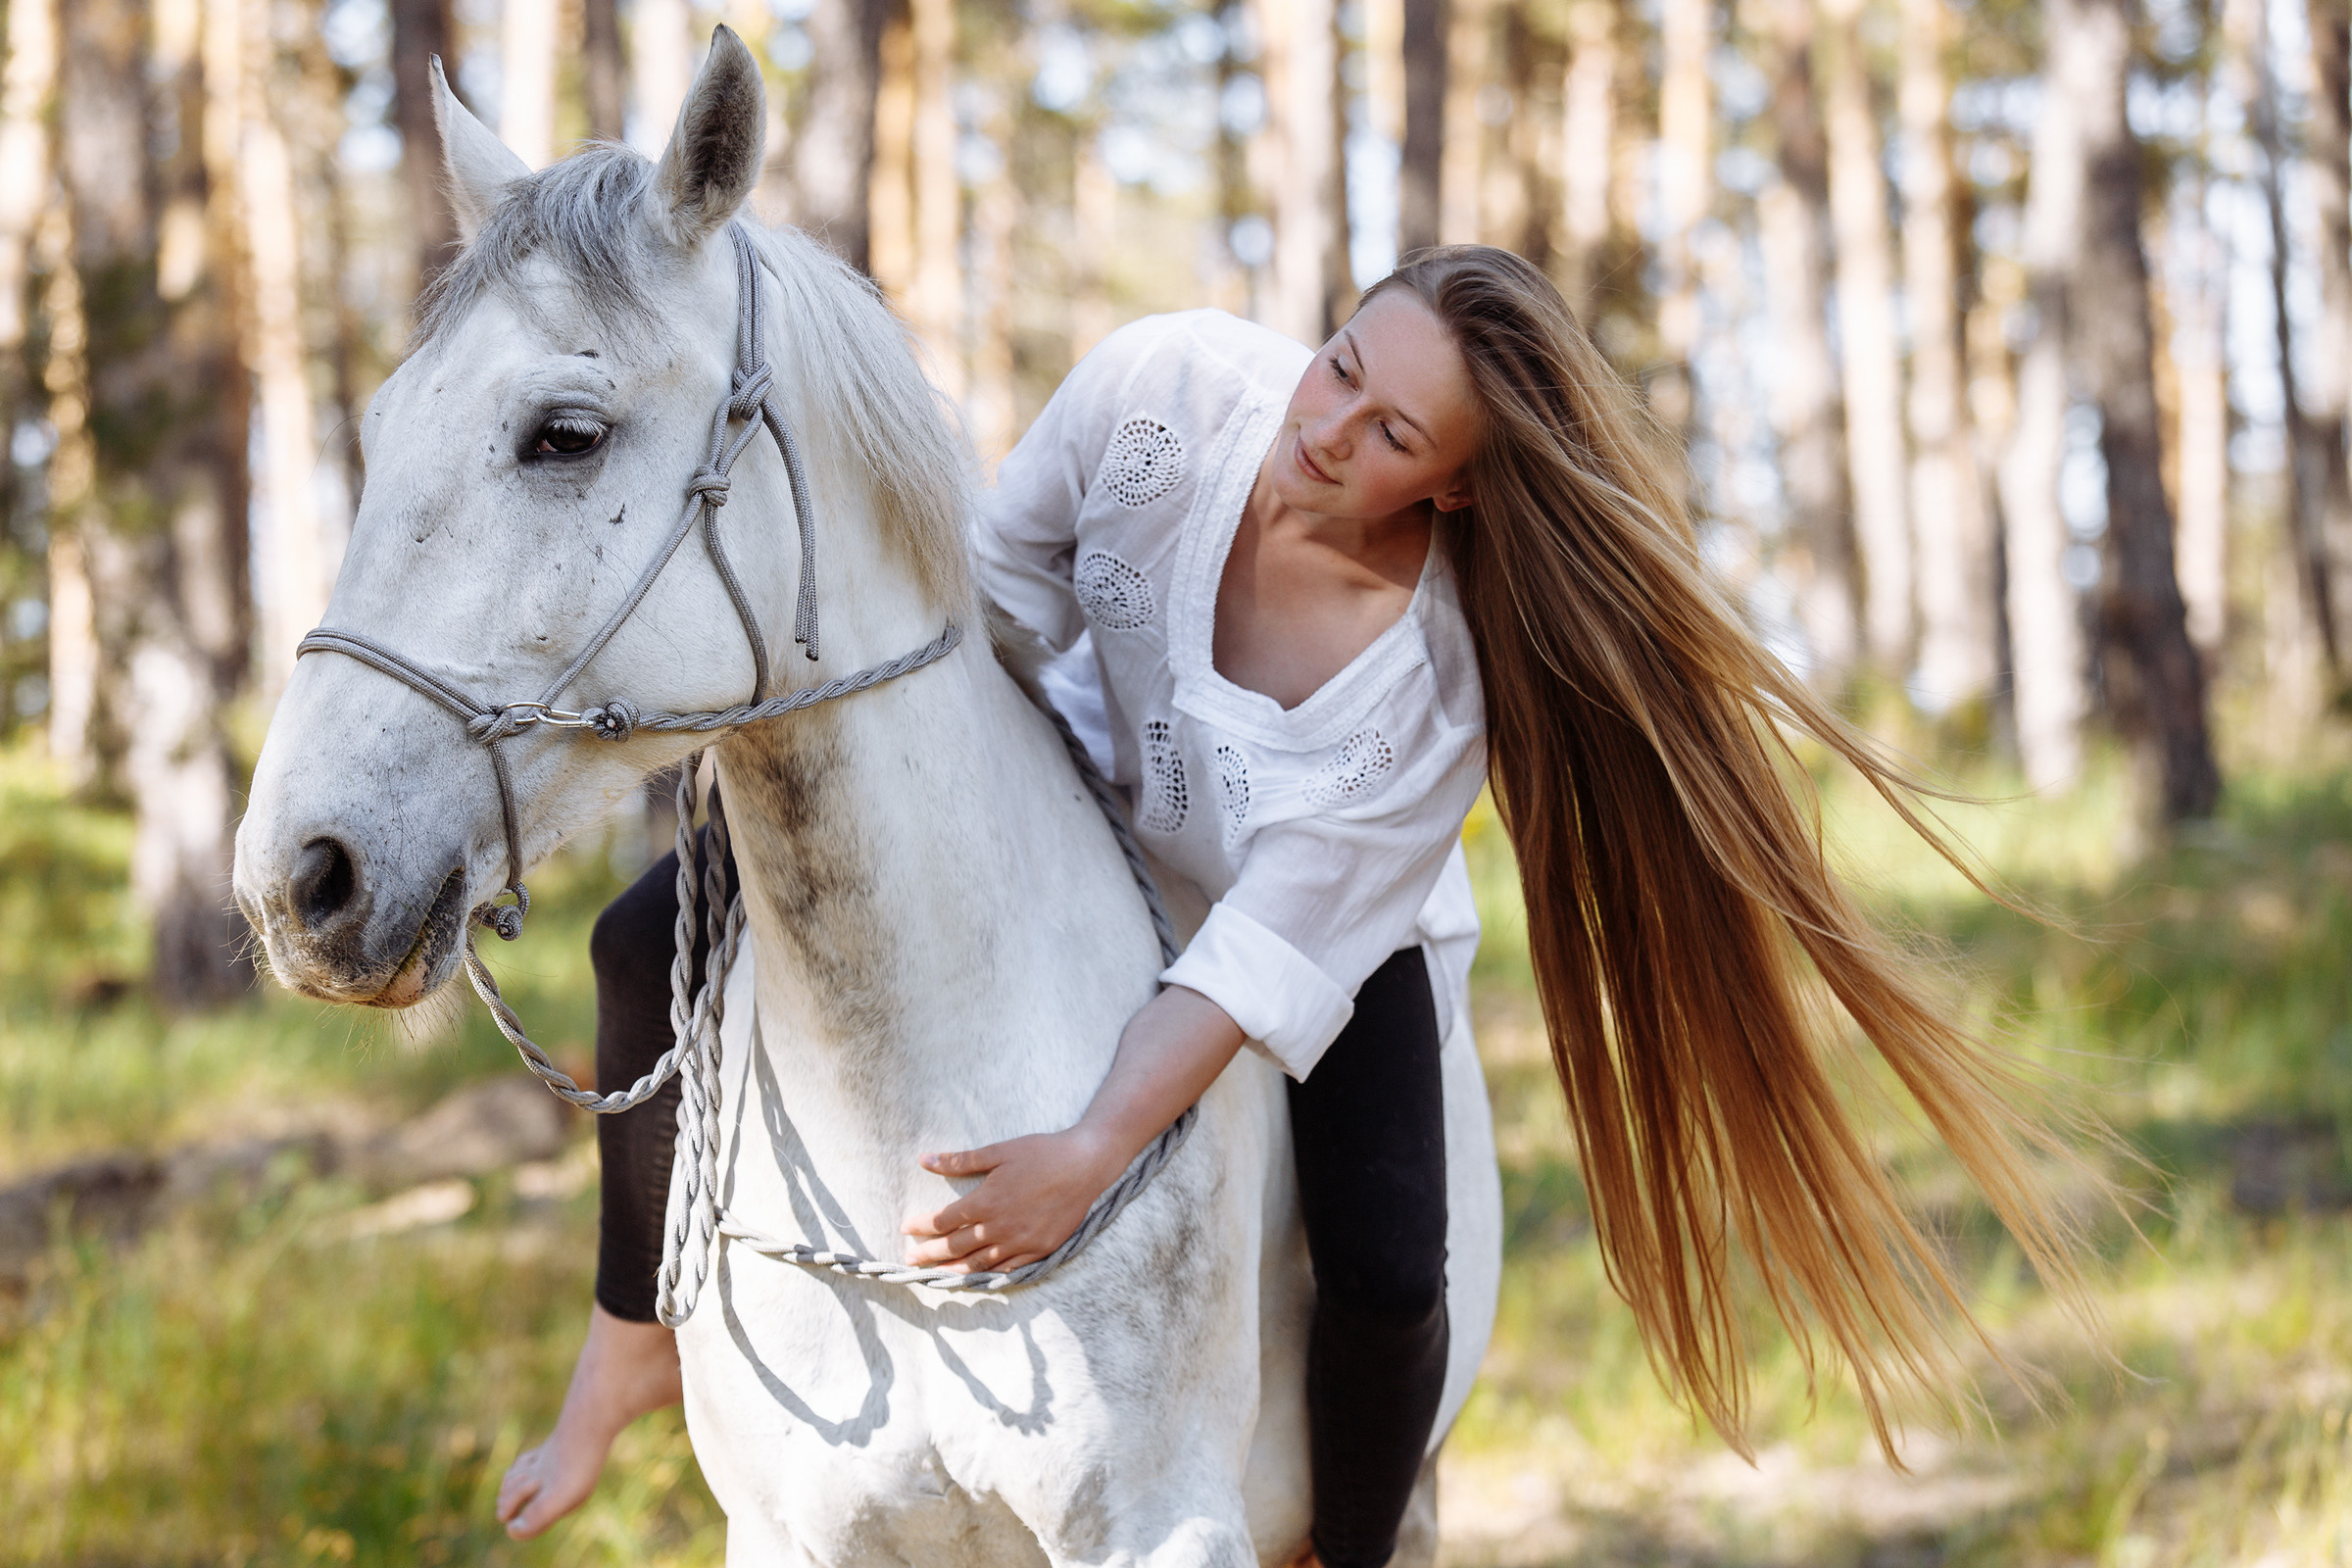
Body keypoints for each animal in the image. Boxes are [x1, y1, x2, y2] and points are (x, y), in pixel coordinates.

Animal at [231, 31, 1503, 1566]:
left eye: (564, 434)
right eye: (378, 423)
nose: (301, 877)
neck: (903, 1110)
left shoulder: (1161, 1529)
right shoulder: (795, 1530)